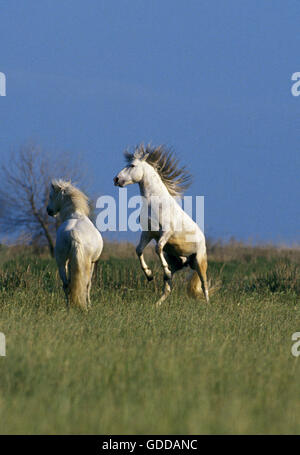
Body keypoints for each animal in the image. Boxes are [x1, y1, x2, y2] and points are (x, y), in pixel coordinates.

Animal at [46, 180, 103, 312]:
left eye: (51, 196)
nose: (48, 210)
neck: (75, 215)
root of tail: (73, 234)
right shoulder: (93, 262)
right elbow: (88, 285)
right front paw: (89, 305)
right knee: (84, 284)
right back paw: (84, 306)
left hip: (62, 263)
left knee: (67, 285)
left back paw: (69, 308)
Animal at [113, 144, 210, 306]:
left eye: (132, 165)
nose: (116, 179)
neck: (155, 203)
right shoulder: (148, 233)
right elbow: (138, 250)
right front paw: (149, 275)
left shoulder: (166, 232)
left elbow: (158, 248)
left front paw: (163, 271)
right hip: (177, 262)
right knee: (168, 288)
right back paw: (156, 305)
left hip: (199, 262)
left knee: (204, 284)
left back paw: (208, 305)